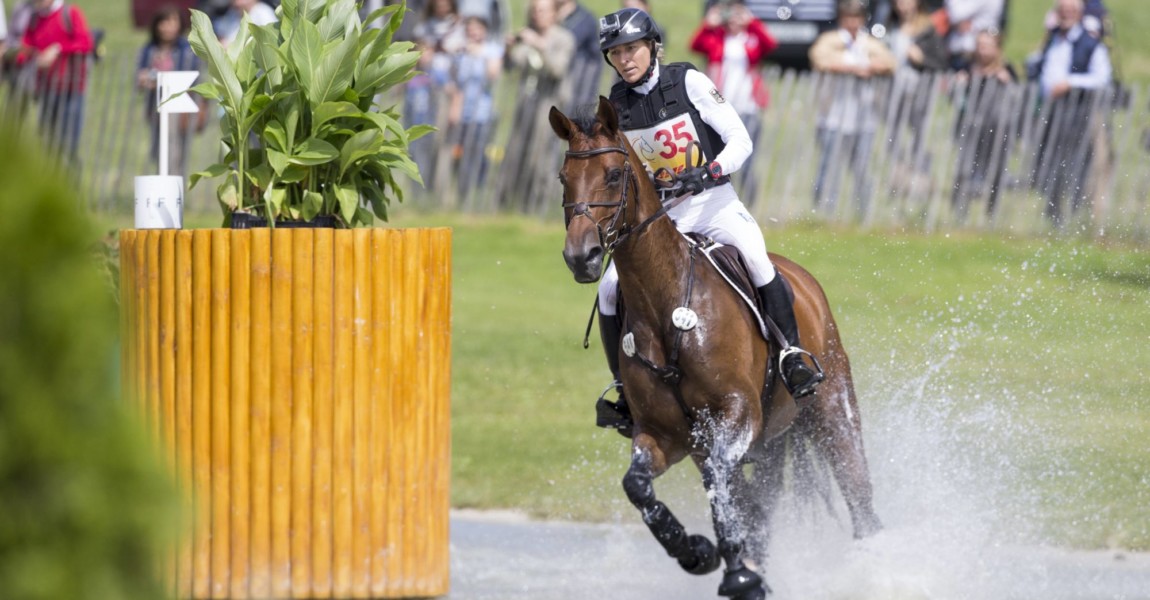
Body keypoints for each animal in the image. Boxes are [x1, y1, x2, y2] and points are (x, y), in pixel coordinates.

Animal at [552, 99, 883, 597]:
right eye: (563, 177)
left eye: (613, 174)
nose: (582, 257)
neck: (667, 302)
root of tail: (804, 281)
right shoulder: (666, 435)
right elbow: (639, 487)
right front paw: (697, 553)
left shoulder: (737, 413)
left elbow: (718, 483)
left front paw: (737, 573)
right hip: (767, 443)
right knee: (759, 507)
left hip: (831, 412)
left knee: (859, 498)